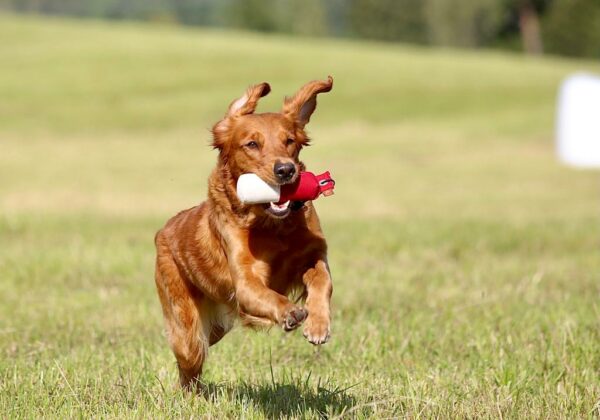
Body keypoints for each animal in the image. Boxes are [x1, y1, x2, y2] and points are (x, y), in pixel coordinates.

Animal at [154, 77, 332, 388]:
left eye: (290, 141)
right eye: (252, 144)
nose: (286, 170)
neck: (273, 226)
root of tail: (162, 232)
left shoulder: (314, 252)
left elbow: (322, 280)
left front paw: (318, 324)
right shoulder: (246, 282)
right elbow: (269, 296)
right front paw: (290, 312)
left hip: (216, 328)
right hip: (188, 329)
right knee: (188, 364)